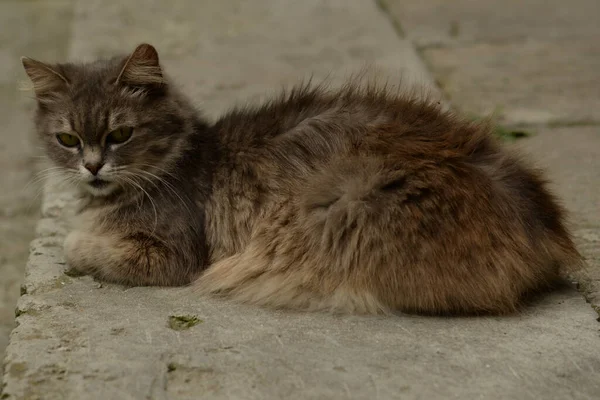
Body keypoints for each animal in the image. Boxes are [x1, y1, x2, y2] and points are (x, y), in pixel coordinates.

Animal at [22, 42, 580, 314]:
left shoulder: (170, 253)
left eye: (120, 134)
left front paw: (75, 241)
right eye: (67, 139)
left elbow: (79, 245)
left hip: (338, 207)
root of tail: (545, 224)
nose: (93, 165)